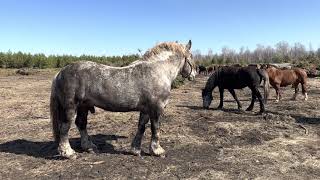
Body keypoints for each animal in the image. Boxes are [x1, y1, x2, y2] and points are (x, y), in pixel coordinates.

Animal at [50, 40, 196, 159]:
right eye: (192, 56)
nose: (195, 74)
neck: (158, 70)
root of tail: (59, 73)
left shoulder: (146, 109)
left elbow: (141, 127)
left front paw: (135, 150)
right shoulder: (156, 108)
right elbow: (156, 128)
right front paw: (157, 151)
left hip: (83, 107)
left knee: (81, 124)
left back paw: (89, 147)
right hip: (70, 107)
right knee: (65, 127)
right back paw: (68, 153)